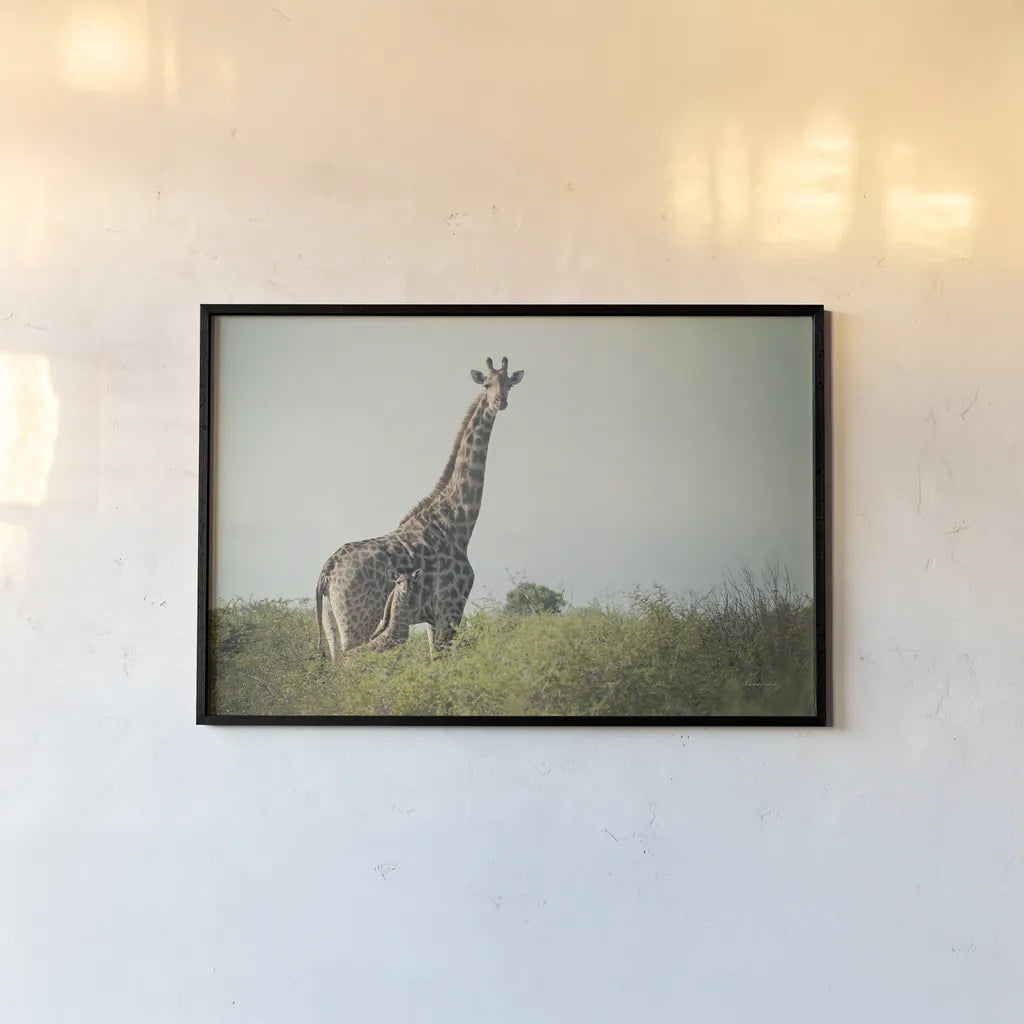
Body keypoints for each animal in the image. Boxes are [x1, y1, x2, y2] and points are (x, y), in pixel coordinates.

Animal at [315, 355, 525, 659]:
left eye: (509, 383)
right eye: (486, 383)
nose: (501, 401)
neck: (458, 523)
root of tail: (327, 571)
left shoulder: (433, 618)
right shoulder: (450, 608)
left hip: (331, 624)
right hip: (357, 623)